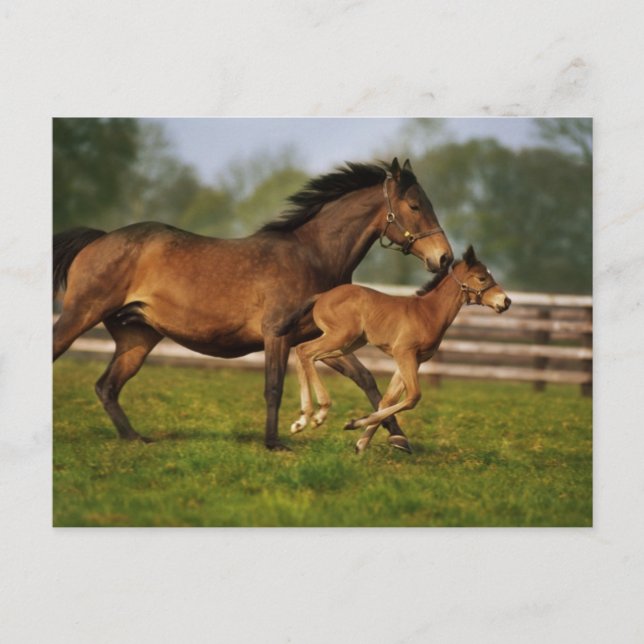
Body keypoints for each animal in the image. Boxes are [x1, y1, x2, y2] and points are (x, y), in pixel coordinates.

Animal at [53, 158, 454, 451]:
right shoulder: (278, 334)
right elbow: (273, 387)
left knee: (107, 386)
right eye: (415, 205)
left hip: (136, 338)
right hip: (80, 316)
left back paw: (134, 438)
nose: (445, 258)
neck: (313, 255)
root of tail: (99, 239)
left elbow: (367, 380)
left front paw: (398, 438)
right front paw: (276, 442)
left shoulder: (324, 338)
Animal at [278, 246, 511, 453]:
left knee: (306, 353)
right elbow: (413, 396)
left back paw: (304, 419)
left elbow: (388, 399)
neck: (428, 313)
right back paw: (318, 414)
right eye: (482, 278)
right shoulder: (403, 352)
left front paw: (361, 443)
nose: (506, 301)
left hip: (347, 344)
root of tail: (321, 296)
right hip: (341, 337)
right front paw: (354, 423)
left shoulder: (413, 360)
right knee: (305, 350)